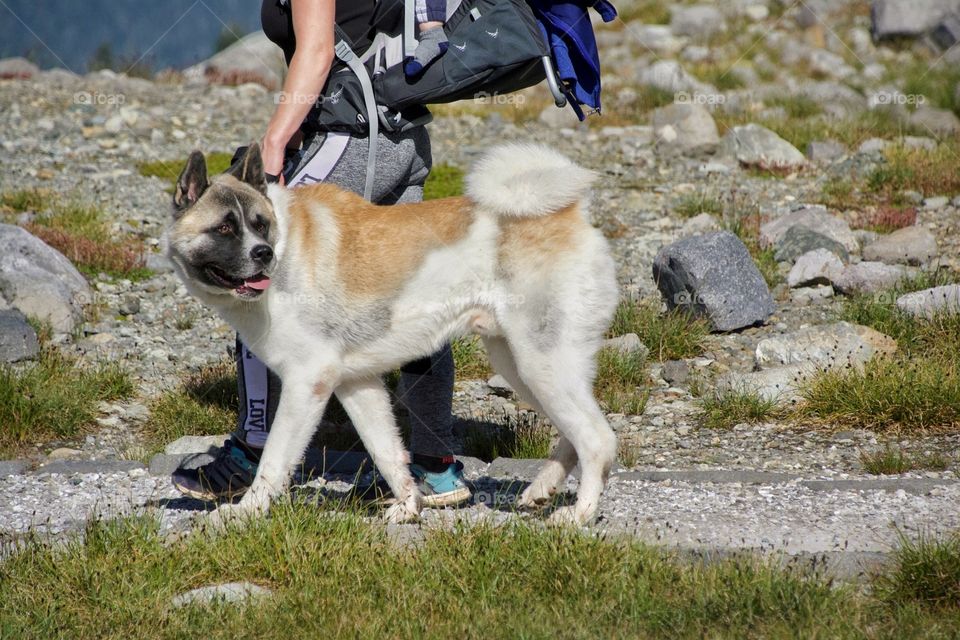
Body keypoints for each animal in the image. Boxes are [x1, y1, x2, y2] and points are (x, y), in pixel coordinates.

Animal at [165, 141, 620, 524]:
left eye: (261, 225)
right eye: (225, 229)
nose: (263, 254)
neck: (288, 247)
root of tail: (570, 213)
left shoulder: (306, 383)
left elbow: (274, 458)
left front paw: (245, 511)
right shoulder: (356, 384)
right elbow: (386, 452)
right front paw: (407, 506)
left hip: (541, 364)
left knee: (597, 440)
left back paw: (579, 515)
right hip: (521, 367)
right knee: (574, 435)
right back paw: (542, 490)